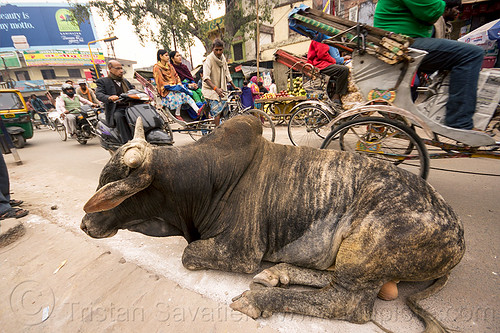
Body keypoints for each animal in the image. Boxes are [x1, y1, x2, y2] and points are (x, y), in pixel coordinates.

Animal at [81, 115, 464, 330]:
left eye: (114, 185)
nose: (85, 224)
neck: (204, 179)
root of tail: (458, 235)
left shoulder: (241, 252)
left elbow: (188, 254)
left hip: (364, 248)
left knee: (345, 302)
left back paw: (260, 297)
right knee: (329, 279)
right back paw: (277, 273)